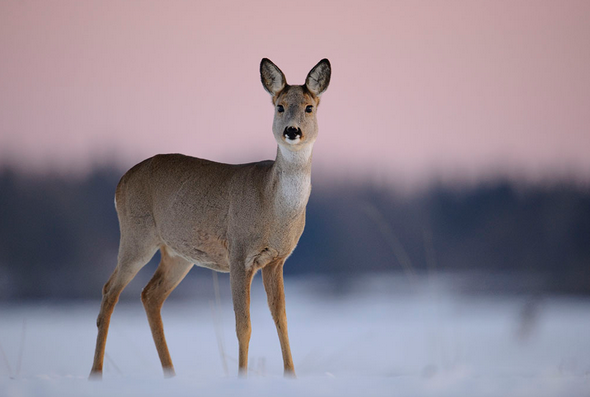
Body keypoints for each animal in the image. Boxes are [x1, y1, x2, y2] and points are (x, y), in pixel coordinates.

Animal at [91, 58, 332, 378]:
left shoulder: (277, 260)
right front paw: (242, 377)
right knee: (110, 291)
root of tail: (121, 182)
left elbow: (281, 319)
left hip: (177, 254)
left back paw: (171, 374)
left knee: (149, 295)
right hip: (136, 235)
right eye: (279, 106)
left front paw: (290, 376)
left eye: (309, 107)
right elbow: (243, 325)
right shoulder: (240, 254)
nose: (292, 131)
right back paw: (96, 373)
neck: (273, 206)